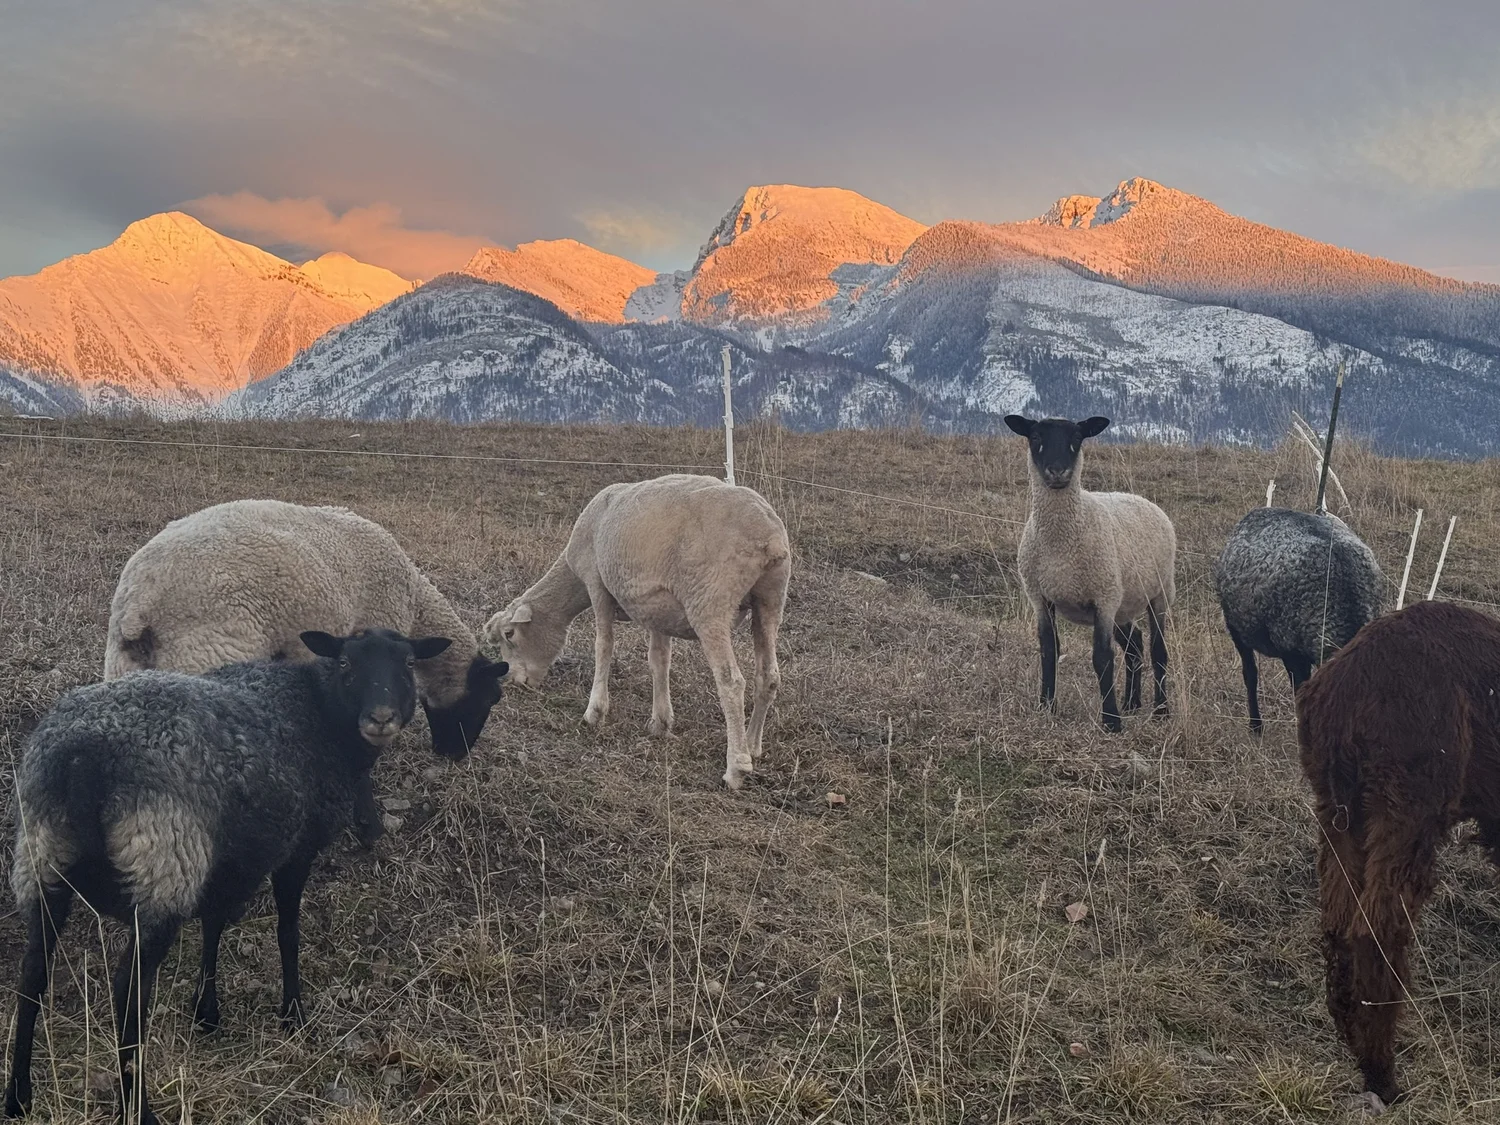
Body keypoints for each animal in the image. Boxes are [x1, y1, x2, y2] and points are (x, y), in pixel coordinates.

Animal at [3, 628, 458, 1125]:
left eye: (409, 663)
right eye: (346, 663)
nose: (381, 718)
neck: (319, 713)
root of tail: (83, 757)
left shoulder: (228, 861)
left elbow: (214, 924)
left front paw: (207, 1013)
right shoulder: (296, 847)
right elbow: (287, 933)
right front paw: (293, 1015)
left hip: (42, 861)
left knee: (32, 973)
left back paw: (18, 1095)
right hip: (163, 864)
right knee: (129, 987)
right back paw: (138, 1107)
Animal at [103, 499, 509, 844]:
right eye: (492, 698)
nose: (455, 755)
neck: (415, 599)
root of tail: (140, 606)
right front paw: (368, 823)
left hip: (126, 673)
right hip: (206, 657)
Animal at [484, 473, 789, 789]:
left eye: (510, 634)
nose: (513, 680)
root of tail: (769, 536)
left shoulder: (596, 583)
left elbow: (603, 645)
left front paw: (594, 712)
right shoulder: (658, 610)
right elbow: (659, 661)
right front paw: (660, 722)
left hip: (710, 602)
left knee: (731, 681)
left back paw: (736, 766)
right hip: (771, 599)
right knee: (768, 677)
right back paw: (752, 745)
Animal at [1003, 415, 1177, 730]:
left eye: (1077, 437)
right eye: (1035, 437)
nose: (1057, 471)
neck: (1060, 543)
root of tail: (1141, 498)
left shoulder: (1103, 599)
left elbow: (1102, 658)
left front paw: (1111, 721)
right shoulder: (1040, 597)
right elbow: (1049, 651)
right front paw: (1046, 707)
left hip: (1158, 592)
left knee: (1158, 651)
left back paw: (1160, 710)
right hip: (1122, 603)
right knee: (1134, 646)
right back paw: (1132, 703)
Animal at [1298, 600, 1500, 1107]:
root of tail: (1348, 687)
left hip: (1341, 810)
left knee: (1338, 923)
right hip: (1408, 805)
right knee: (1378, 930)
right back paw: (1382, 1075)